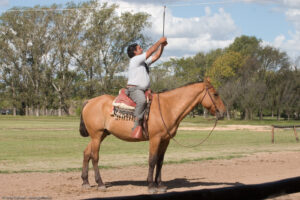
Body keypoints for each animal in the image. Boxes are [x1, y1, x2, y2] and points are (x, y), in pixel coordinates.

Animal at [79, 77, 225, 193]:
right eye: (215, 94)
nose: (223, 112)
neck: (168, 107)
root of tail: (90, 101)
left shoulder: (165, 140)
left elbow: (160, 161)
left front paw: (160, 184)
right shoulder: (155, 139)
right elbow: (152, 160)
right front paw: (151, 186)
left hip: (101, 135)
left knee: (86, 153)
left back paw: (85, 182)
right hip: (97, 135)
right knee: (95, 157)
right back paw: (100, 183)